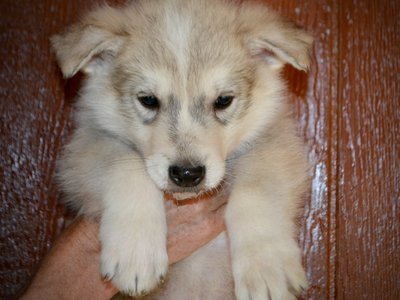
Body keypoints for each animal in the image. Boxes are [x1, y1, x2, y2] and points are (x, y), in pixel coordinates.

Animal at [51, 1, 312, 298]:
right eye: (148, 100)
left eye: (223, 100)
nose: (187, 174)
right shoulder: (81, 151)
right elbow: (124, 166)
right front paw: (136, 250)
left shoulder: (276, 143)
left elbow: (255, 190)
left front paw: (267, 266)